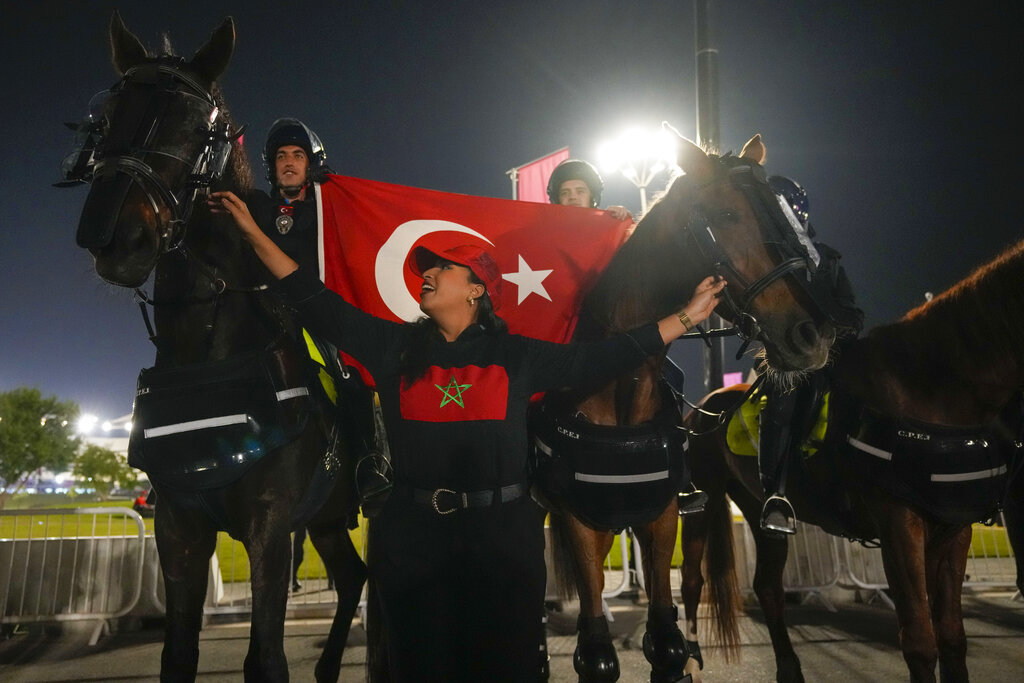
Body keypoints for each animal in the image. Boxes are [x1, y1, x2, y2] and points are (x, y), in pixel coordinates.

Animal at [68, 13, 366, 679]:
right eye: (110, 115)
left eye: (194, 124)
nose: (110, 236)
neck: (207, 353)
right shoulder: (179, 528)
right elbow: (179, 654)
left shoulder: (270, 528)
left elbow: (268, 658)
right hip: (330, 520)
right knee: (353, 574)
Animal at [536, 131, 839, 679]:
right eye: (726, 215)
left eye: (783, 215)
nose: (813, 334)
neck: (619, 385)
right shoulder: (578, 522)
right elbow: (596, 652)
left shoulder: (660, 518)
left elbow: (666, 639)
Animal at [679, 237, 1024, 679]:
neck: (929, 388)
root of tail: (702, 410)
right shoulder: (898, 525)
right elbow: (920, 640)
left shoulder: (953, 529)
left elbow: (951, 637)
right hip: (702, 501)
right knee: (692, 581)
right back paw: (690, 659)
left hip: (756, 507)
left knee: (768, 586)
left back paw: (789, 668)